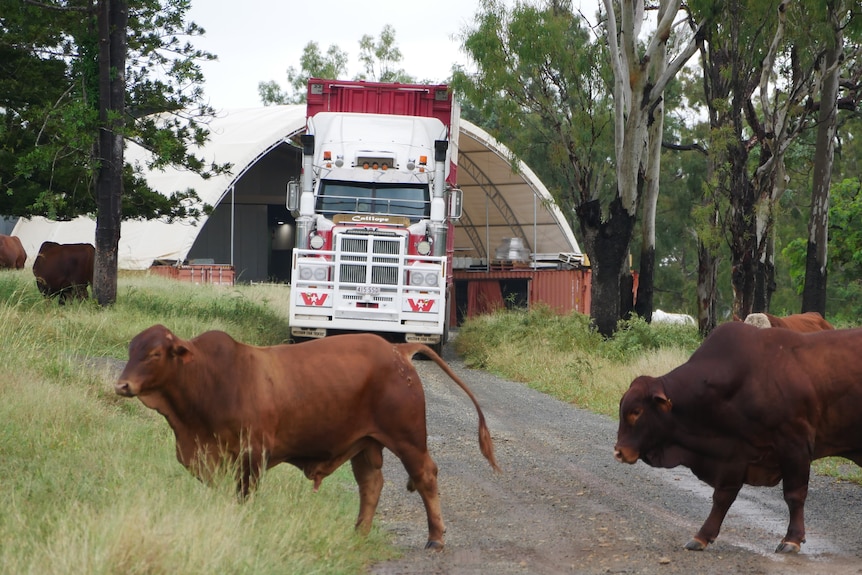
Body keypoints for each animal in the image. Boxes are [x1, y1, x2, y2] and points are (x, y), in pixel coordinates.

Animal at [118, 328, 502, 548]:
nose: (122, 385)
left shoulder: (252, 455)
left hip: (407, 438)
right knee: (371, 483)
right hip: (366, 443)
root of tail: (398, 350)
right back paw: (358, 533)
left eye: (154, 353)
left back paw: (435, 538)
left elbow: (243, 496)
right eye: (131, 350)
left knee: (425, 476)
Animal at [616, 324, 862, 552]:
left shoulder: (796, 445)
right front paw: (702, 536)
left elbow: (794, 495)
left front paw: (792, 539)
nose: (619, 451)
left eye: (636, 411)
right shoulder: (734, 452)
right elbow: (723, 497)